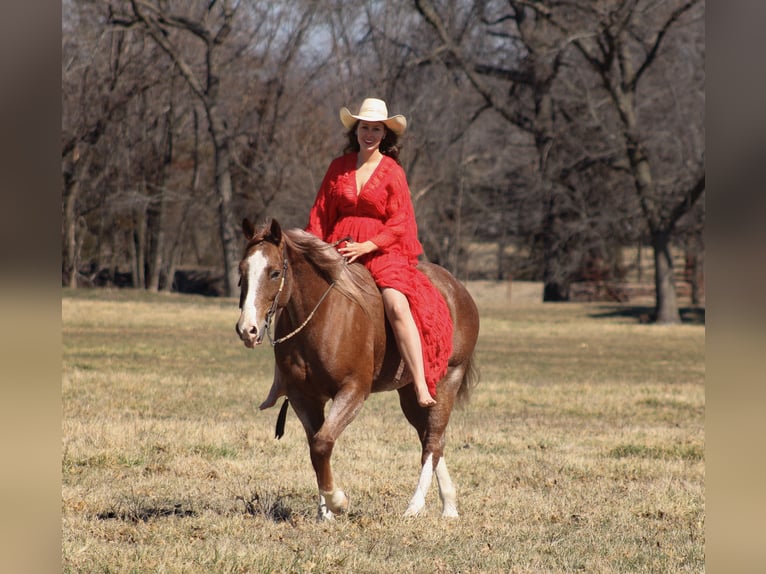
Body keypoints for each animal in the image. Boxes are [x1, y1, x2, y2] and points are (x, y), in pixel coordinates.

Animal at [235, 218, 480, 520]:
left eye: (274, 272)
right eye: (241, 271)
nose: (247, 329)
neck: (322, 316)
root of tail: (458, 290)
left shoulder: (353, 391)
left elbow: (322, 443)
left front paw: (337, 501)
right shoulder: (304, 397)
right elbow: (316, 445)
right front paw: (325, 513)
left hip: (448, 380)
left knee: (433, 441)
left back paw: (415, 506)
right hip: (410, 394)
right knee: (431, 440)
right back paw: (449, 506)